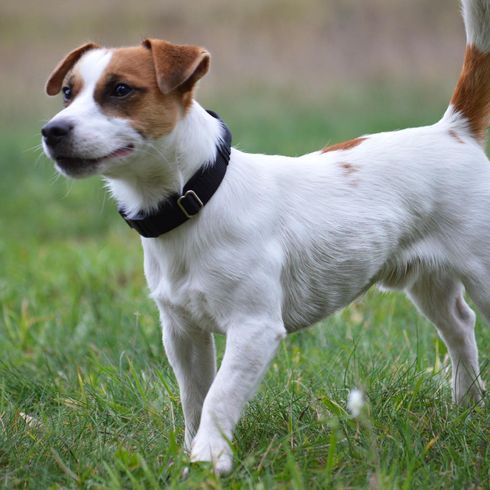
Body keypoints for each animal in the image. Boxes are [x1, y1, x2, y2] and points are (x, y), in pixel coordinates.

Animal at [41, 0, 486, 474]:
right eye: (67, 92)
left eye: (121, 89)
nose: (52, 131)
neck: (198, 198)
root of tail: (453, 130)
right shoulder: (182, 332)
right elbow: (193, 398)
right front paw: (192, 454)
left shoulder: (254, 327)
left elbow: (219, 396)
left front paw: (208, 460)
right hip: (427, 281)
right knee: (460, 325)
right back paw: (467, 403)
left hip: (482, 273)